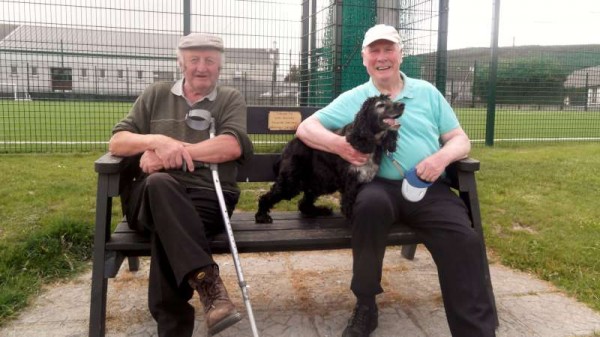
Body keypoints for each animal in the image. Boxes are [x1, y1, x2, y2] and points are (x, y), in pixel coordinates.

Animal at [255, 94, 406, 223]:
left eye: (391, 100)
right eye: (380, 105)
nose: (402, 104)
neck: (367, 140)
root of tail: (287, 146)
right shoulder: (350, 181)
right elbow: (349, 203)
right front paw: (352, 219)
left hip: (315, 181)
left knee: (304, 203)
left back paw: (318, 211)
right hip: (291, 181)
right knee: (267, 197)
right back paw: (262, 216)